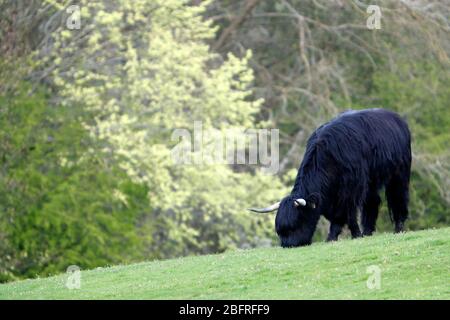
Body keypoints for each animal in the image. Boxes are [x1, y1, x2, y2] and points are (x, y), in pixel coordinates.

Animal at [250, 108, 412, 248]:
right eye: (280, 231)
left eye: (296, 224)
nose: (288, 245)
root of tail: (396, 118)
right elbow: (339, 217)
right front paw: (339, 235)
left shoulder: (350, 189)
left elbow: (348, 213)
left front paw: (351, 234)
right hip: (370, 181)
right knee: (372, 201)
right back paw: (368, 231)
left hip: (399, 173)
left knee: (398, 197)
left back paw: (398, 228)